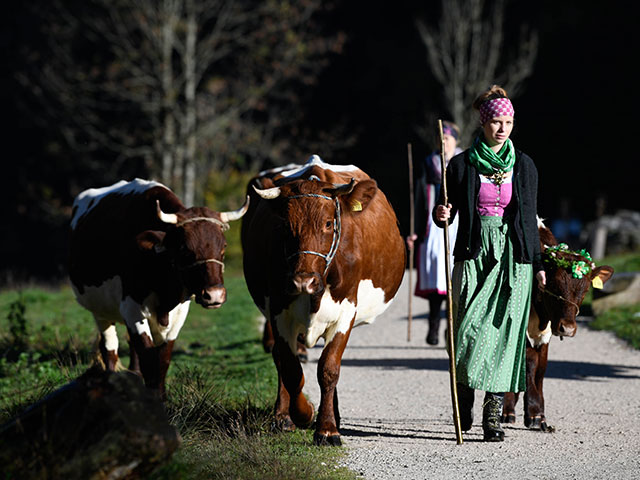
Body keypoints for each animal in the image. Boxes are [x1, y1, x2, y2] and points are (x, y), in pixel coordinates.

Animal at [69, 178, 249, 400]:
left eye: (223, 246)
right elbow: (148, 358)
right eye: (184, 249)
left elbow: (162, 359)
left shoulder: (178, 313)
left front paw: (162, 397)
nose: (214, 295)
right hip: (99, 311)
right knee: (110, 349)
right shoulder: (132, 308)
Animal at [240, 156, 404, 444]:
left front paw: (327, 428)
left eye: (328, 223)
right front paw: (302, 414)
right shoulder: (278, 312)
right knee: (280, 359)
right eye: (285, 226)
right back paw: (282, 416)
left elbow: (329, 368)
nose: (302, 282)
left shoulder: (346, 312)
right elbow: (292, 370)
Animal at [502, 218, 612, 432]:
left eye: (585, 290)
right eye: (553, 286)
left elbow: (540, 370)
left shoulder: (545, 336)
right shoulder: (523, 331)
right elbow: (528, 366)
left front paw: (540, 415)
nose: (567, 328)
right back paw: (507, 410)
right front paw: (534, 414)